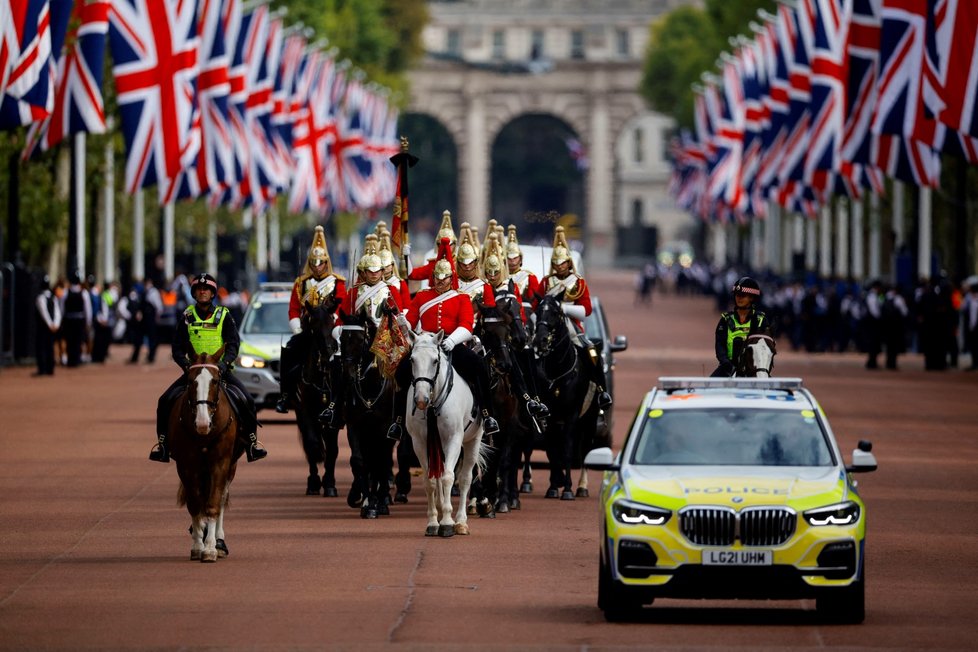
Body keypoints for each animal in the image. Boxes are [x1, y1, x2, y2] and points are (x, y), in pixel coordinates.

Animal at [170, 352, 242, 560]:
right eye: (190, 381)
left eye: (216, 381)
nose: (202, 423)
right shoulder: (186, 465)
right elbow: (195, 504)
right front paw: (197, 545)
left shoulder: (220, 463)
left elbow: (214, 503)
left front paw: (210, 548)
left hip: (230, 467)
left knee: (221, 498)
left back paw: (219, 542)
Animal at [338, 310, 394, 520]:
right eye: (341, 339)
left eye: (360, 340)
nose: (348, 376)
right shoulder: (355, 426)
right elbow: (359, 461)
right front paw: (367, 503)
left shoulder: (384, 428)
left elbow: (379, 461)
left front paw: (376, 503)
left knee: (384, 460)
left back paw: (383, 499)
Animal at [402, 334, 482, 536]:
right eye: (412, 360)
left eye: (435, 361)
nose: (421, 400)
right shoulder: (420, 442)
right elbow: (430, 481)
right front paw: (433, 522)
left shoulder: (453, 439)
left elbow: (449, 477)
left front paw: (447, 522)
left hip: (473, 440)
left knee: (465, 477)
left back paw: (460, 521)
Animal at [528, 292, 592, 502]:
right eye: (538, 310)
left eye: (556, 313)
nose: (540, 340)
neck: (558, 370)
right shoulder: (549, 417)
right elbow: (552, 451)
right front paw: (554, 487)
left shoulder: (572, 415)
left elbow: (567, 451)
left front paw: (568, 489)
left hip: (589, 420)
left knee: (586, 450)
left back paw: (582, 486)